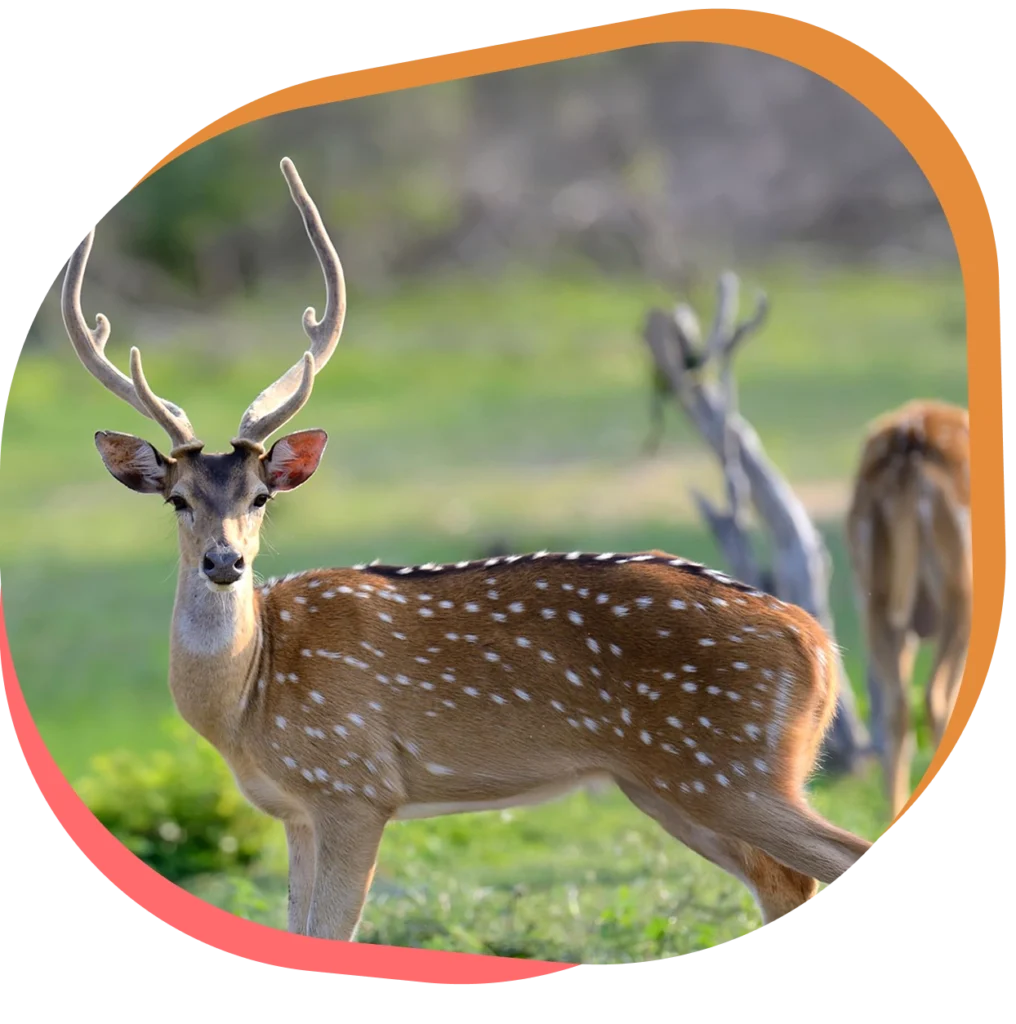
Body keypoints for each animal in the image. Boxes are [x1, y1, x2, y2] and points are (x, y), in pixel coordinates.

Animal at [60, 156, 875, 948]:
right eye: (177, 498)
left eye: (261, 496)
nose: (224, 563)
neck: (246, 703)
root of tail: (820, 646)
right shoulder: (295, 809)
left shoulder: (356, 784)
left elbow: (333, 929)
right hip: (672, 784)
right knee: (785, 880)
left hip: (728, 769)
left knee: (832, 856)